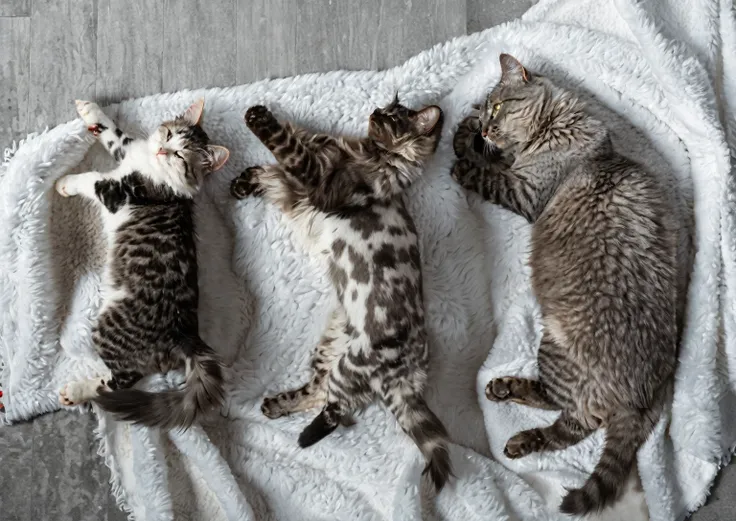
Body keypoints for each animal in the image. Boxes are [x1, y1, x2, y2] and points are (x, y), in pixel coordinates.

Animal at [56, 99, 230, 428]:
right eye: (169, 134)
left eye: (180, 155)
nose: (162, 150)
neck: (151, 167)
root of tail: (185, 336)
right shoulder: (127, 150)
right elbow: (113, 132)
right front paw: (89, 110)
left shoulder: (115, 192)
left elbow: (90, 178)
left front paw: (65, 182)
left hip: (108, 328)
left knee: (120, 381)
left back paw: (77, 390)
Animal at [231, 99, 454, 490]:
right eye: (389, 106)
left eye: (395, 116)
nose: (376, 111)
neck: (369, 151)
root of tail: (411, 375)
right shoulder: (302, 183)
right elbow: (274, 165)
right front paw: (241, 182)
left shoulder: (318, 181)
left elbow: (284, 147)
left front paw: (258, 117)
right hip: (329, 349)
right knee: (318, 393)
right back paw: (275, 405)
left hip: (354, 363)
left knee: (336, 410)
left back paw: (303, 434)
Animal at [452, 54, 680, 512]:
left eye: (498, 107)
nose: (484, 127)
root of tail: (645, 396)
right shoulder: (518, 175)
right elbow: (494, 165)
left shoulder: (523, 189)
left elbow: (482, 172)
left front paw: (461, 142)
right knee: (567, 414)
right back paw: (505, 389)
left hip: (557, 349)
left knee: (569, 422)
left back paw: (522, 437)